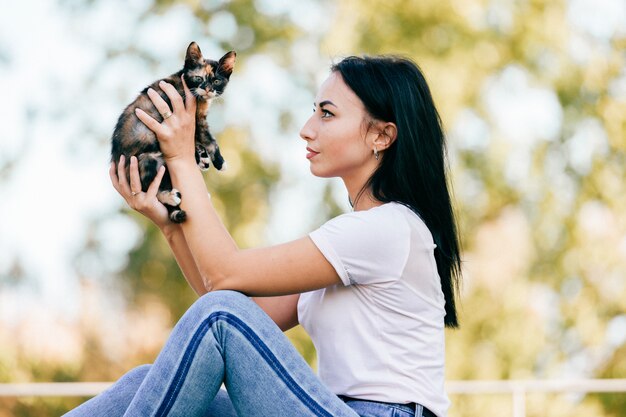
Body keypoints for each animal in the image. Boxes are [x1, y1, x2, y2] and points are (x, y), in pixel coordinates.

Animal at [109, 42, 234, 223]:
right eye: (199, 78)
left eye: (216, 81)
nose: (207, 89)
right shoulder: (197, 120)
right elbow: (209, 140)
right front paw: (219, 161)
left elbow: (196, 140)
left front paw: (201, 157)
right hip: (147, 159)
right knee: (150, 188)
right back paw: (169, 196)